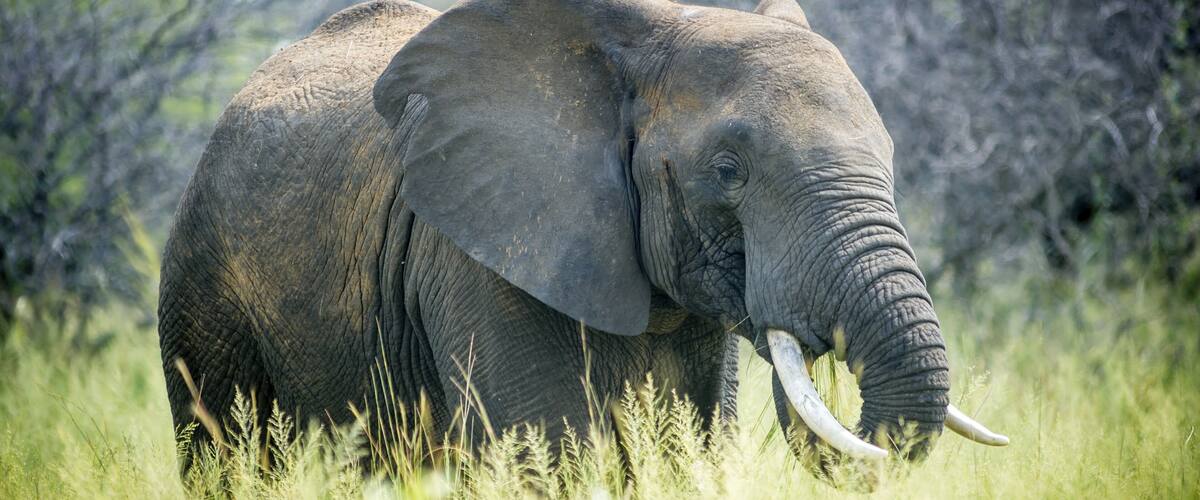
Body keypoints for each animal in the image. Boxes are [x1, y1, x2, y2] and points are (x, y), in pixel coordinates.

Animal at [157, 0, 1007, 480]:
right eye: (728, 172)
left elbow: (685, 452)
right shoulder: (485, 251)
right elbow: (550, 451)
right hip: (203, 283)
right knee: (226, 453)